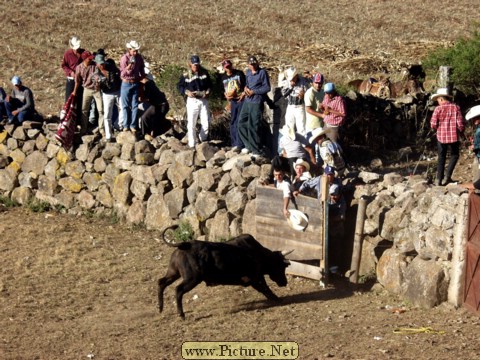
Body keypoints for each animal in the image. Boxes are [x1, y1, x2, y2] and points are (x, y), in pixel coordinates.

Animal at [159, 235, 290, 320]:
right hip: (192, 279)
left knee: (161, 282)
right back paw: (181, 315)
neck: (258, 253)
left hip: (173, 272)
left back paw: (160, 307)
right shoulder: (256, 277)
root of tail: (184, 245)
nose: (285, 282)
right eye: (282, 266)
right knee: (178, 290)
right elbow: (266, 289)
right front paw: (277, 299)